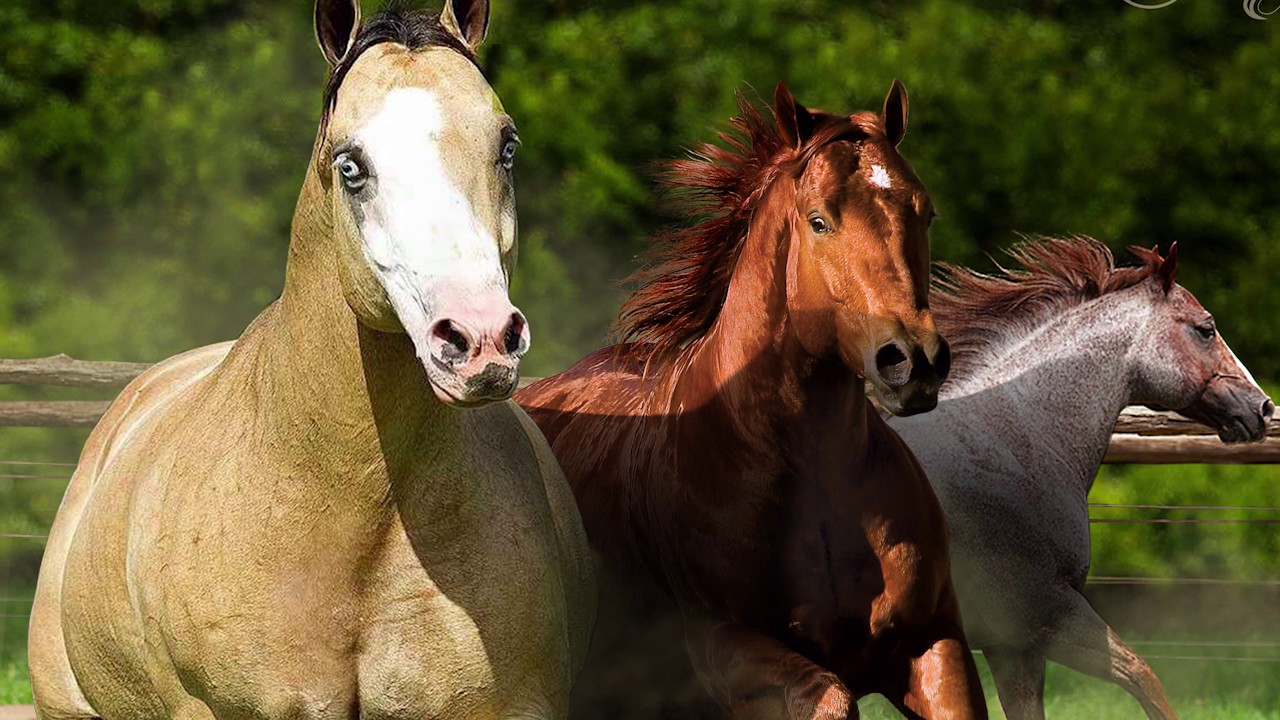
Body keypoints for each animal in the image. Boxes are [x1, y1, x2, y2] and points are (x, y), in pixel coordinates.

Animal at [517, 83, 986, 720]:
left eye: (925, 211)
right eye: (819, 221)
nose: (912, 360)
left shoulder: (934, 642)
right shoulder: (727, 652)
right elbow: (832, 697)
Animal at [886, 237, 1273, 720]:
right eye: (1206, 328)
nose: (1262, 408)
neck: (1009, 446)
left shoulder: (1011, 647)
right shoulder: (1043, 616)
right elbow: (1145, 677)